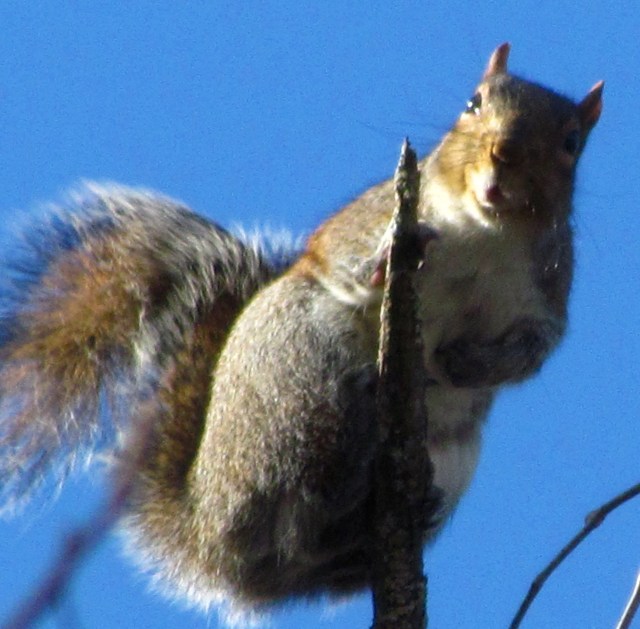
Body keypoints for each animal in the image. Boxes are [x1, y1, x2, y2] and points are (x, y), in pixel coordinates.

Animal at [0, 44, 602, 617]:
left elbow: (533, 353)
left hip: (451, 459)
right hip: (300, 377)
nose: (504, 153)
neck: (484, 233)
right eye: (473, 103)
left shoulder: (547, 293)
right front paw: (384, 262)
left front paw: (469, 363)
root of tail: (210, 535)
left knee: (312, 556)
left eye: (571, 142)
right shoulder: (369, 216)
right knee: (298, 507)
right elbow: (340, 253)